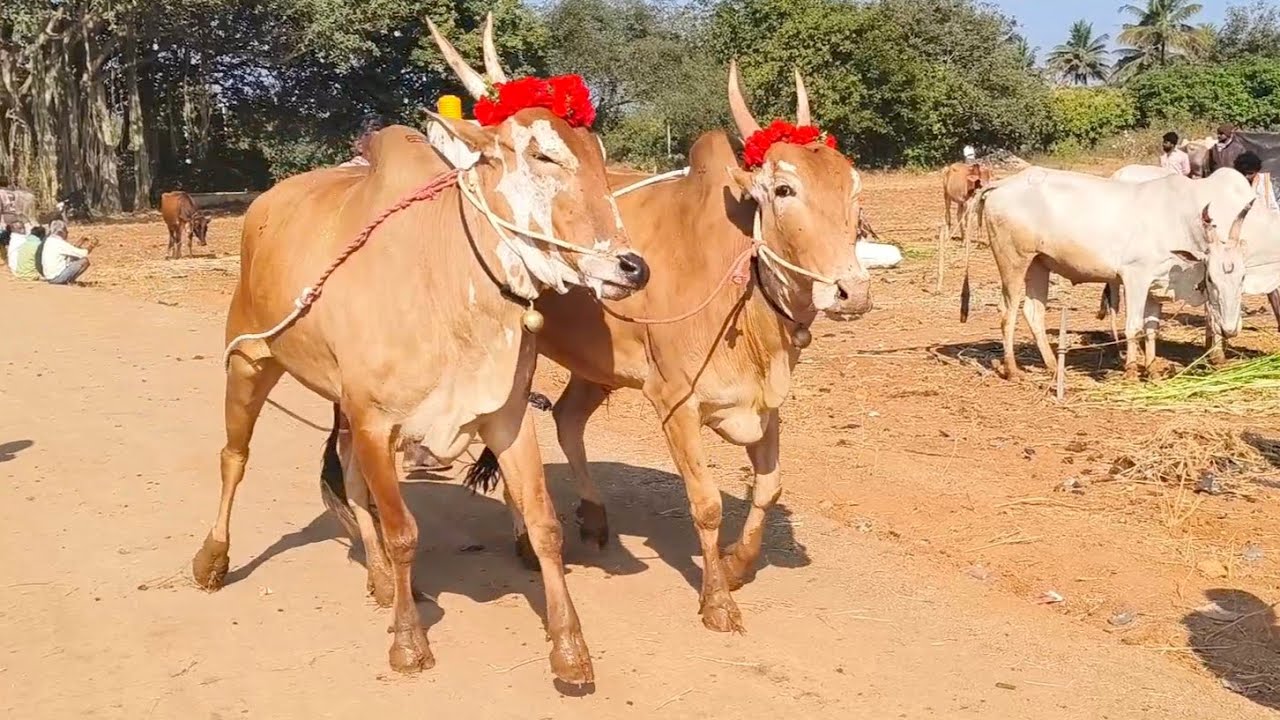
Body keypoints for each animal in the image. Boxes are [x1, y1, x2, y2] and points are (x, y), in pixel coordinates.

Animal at [190, 15, 649, 683]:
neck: (447, 285)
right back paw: (214, 559)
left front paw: (569, 648)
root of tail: (263, 205)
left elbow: (544, 525)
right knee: (234, 456)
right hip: (250, 360)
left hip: (342, 407)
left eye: (599, 155)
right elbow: (405, 531)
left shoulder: (503, 415)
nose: (631, 266)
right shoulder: (378, 420)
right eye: (542, 153)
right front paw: (409, 640)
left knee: (349, 482)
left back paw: (381, 580)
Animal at [409, 63, 871, 634]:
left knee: (566, 419)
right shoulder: (675, 402)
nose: (854, 292)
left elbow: (769, 489)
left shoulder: (765, 403)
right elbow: (707, 503)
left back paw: (594, 516)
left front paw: (739, 565)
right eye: (785, 188)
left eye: (854, 187)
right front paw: (717, 599)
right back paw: (524, 537)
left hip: (595, 368)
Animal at [960, 166, 1256, 381]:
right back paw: (1012, 370)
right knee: (1007, 312)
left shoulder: (1156, 285)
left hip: (1038, 264)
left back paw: (1054, 366)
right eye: (1211, 278)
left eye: (1242, 277)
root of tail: (1002, 185)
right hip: (1013, 260)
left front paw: (1152, 368)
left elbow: (1151, 327)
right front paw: (1132, 370)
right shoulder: (1135, 277)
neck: (1178, 222)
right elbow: (1134, 326)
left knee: (1033, 312)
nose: (1230, 329)